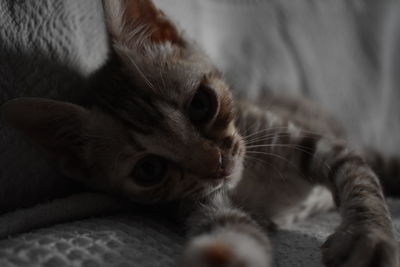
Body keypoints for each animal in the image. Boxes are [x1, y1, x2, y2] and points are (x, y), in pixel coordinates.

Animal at [1, 0, 398, 267]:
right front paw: (224, 255)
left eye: (201, 105)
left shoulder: (313, 142)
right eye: (149, 169)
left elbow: (359, 181)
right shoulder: (207, 203)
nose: (217, 163)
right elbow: (232, 228)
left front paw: (367, 235)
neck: (254, 179)